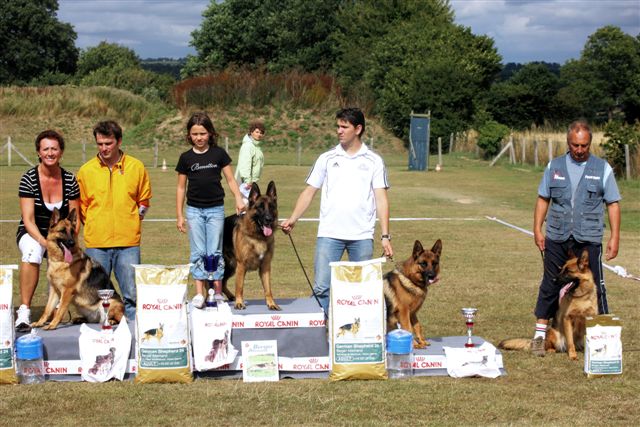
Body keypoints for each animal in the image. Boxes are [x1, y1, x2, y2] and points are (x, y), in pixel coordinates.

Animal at [221, 181, 278, 310]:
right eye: (260, 207)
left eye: (271, 207)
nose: (269, 219)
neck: (258, 236)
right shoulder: (242, 266)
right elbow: (240, 287)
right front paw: (239, 303)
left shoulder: (265, 266)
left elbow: (268, 289)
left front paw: (271, 303)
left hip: (231, 267)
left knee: (222, 282)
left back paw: (230, 296)